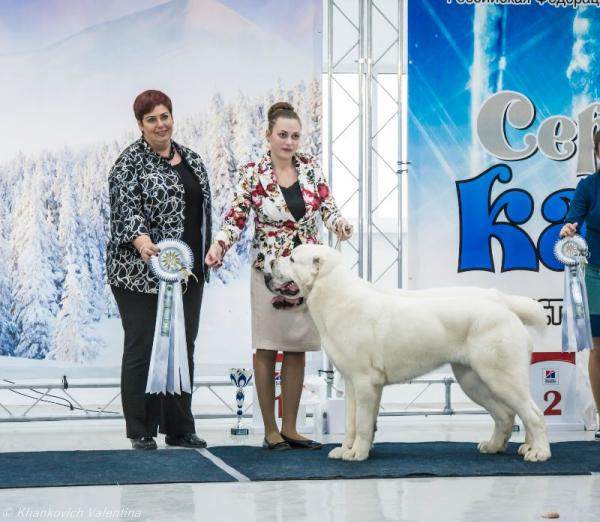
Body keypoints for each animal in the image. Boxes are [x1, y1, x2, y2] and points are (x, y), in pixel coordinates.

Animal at [266, 244, 551, 462]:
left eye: (292, 258)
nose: (269, 265)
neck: (334, 296)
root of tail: (504, 305)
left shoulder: (365, 382)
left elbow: (362, 423)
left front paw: (357, 453)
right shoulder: (351, 382)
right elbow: (351, 421)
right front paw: (346, 449)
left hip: (501, 378)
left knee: (533, 414)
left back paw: (538, 452)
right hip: (473, 380)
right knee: (506, 415)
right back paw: (494, 446)